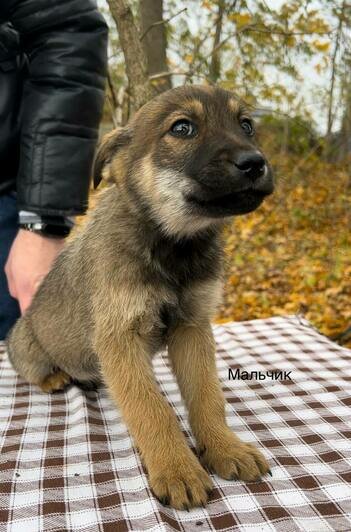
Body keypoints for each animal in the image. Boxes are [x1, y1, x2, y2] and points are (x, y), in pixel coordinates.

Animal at [6, 86, 276, 512]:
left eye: (246, 125)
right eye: (182, 128)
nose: (255, 163)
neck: (173, 245)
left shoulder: (193, 328)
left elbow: (207, 397)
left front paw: (224, 448)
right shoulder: (121, 338)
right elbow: (153, 409)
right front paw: (177, 469)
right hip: (26, 345)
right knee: (32, 368)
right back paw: (55, 377)